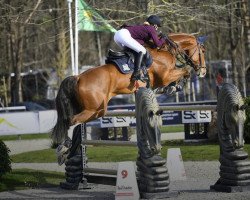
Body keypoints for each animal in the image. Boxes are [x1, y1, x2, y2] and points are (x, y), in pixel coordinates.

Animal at [51, 32, 207, 144]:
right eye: (203, 51)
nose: (203, 72)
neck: (164, 51)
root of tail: (78, 77)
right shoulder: (165, 76)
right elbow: (185, 71)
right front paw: (175, 87)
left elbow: (181, 73)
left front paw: (170, 88)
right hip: (94, 109)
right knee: (72, 120)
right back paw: (65, 148)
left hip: (93, 109)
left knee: (71, 120)